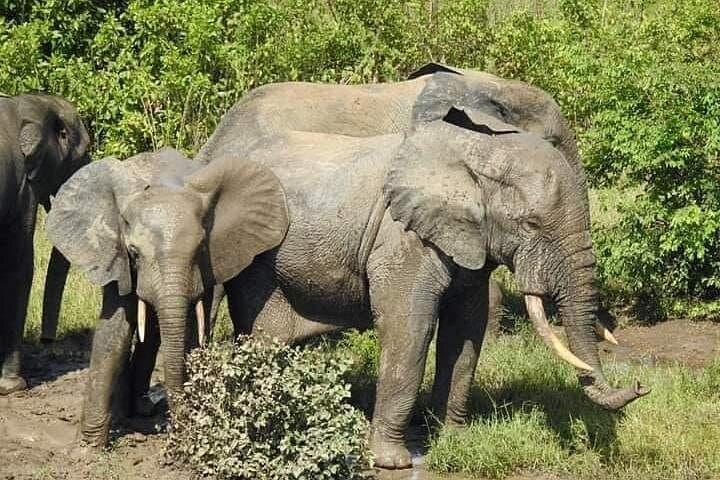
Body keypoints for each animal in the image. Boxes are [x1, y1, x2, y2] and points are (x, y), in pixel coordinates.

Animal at [45, 147, 288, 447]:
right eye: (134, 252)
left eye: (201, 248)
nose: (179, 431)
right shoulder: (118, 258)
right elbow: (115, 331)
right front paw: (88, 448)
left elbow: (189, 332)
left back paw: (141, 409)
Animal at [200, 108, 648, 469]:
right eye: (531, 224)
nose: (640, 386)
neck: (479, 152)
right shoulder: (402, 238)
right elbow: (409, 330)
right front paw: (393, 462)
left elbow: (465, 335)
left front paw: (455, 441)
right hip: (254, 259)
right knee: (265, 335)